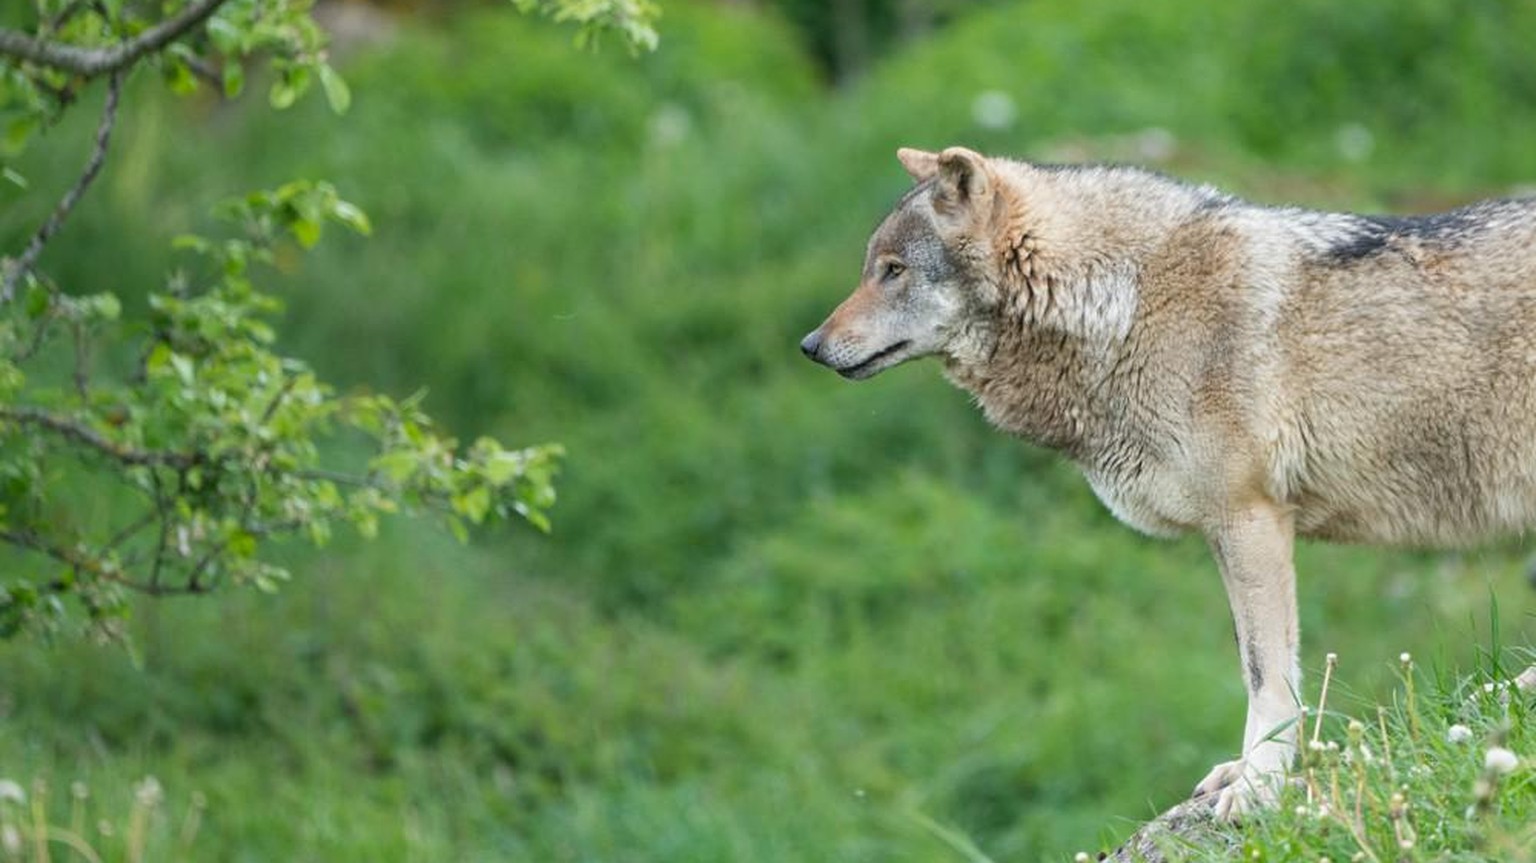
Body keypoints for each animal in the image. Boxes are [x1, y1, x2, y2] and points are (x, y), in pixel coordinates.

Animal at [798, 145, 1536, 810]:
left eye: (893, 271)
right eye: (872, 269)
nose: (809, 345)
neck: (1126, 303)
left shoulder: (1250, 519)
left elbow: (1267, 672)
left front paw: (1261, 785)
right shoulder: (1227, 532)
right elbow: (1253, 664)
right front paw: (1246, 772)